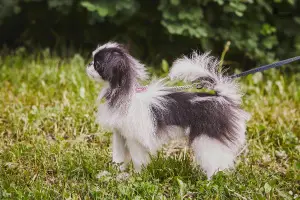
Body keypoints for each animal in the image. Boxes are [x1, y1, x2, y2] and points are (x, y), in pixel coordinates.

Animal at [85, 42, 250, 178]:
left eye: (97, 64)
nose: (88, 65)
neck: (124, 94)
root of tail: (222, 97)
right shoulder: (120, 135)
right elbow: (118, 158)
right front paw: (114, 175)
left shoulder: (135, 139)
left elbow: (138, 160)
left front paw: (136, 178)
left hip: (207, 140)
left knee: (215, 162)